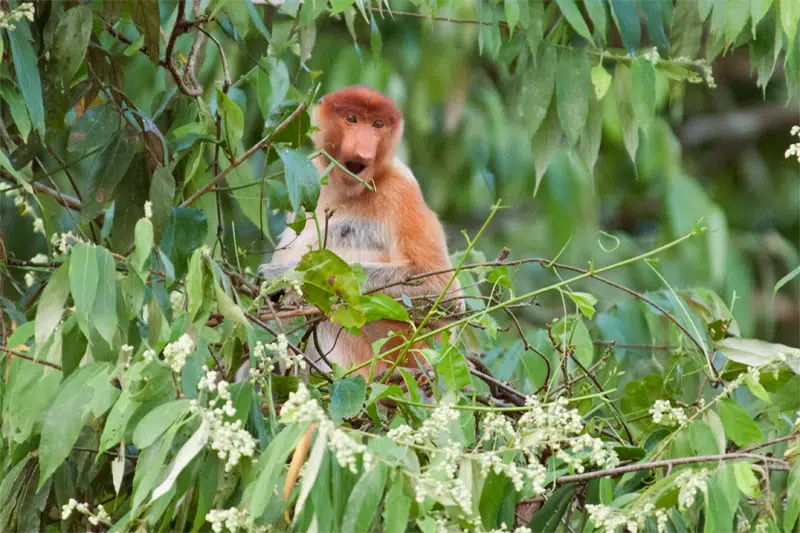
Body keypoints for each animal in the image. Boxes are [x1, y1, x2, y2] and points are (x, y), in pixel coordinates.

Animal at [240, 85, 464, 381]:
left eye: (378, 124)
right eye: (351, 119)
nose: (363, 149)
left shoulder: (401, 189)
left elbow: (440, 290)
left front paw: (284, 277)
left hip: (380, 358)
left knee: (328, 316)